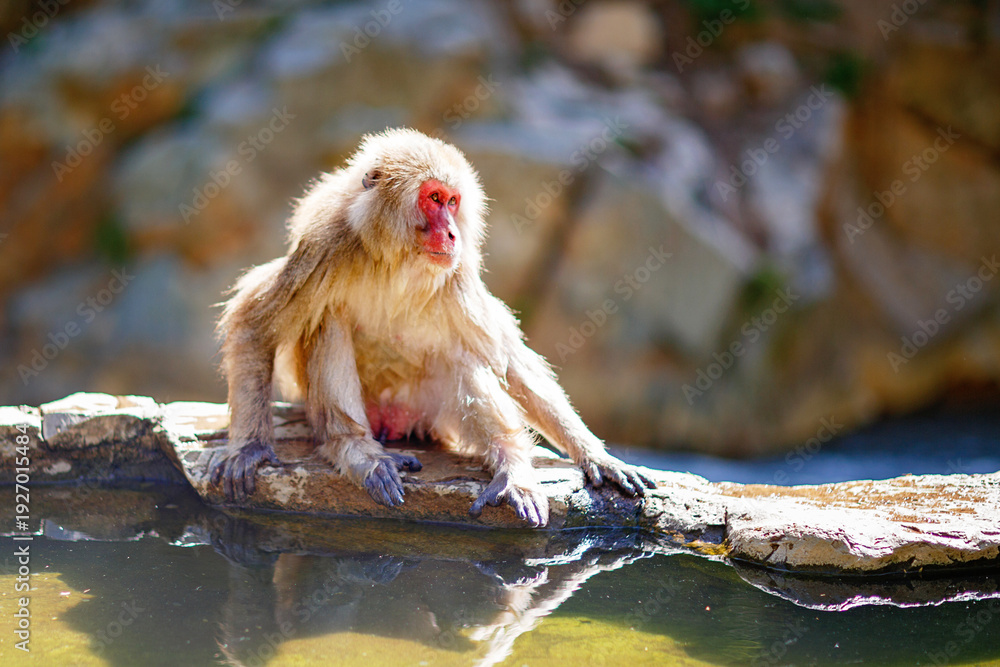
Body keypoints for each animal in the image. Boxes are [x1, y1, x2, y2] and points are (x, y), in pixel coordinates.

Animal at [210, 128, 656, 527]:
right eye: (434, 198)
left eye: (454, 202)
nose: (453, 233)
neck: (396, 260)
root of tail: (390, 421)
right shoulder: (325, 247)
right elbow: (255, 323)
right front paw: (249, 448)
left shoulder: (457, 272)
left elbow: (508, 361)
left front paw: (593, 453)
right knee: (328, 319)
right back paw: (356, 449)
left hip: (428, 411)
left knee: (463, 356)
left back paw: (510, 467)